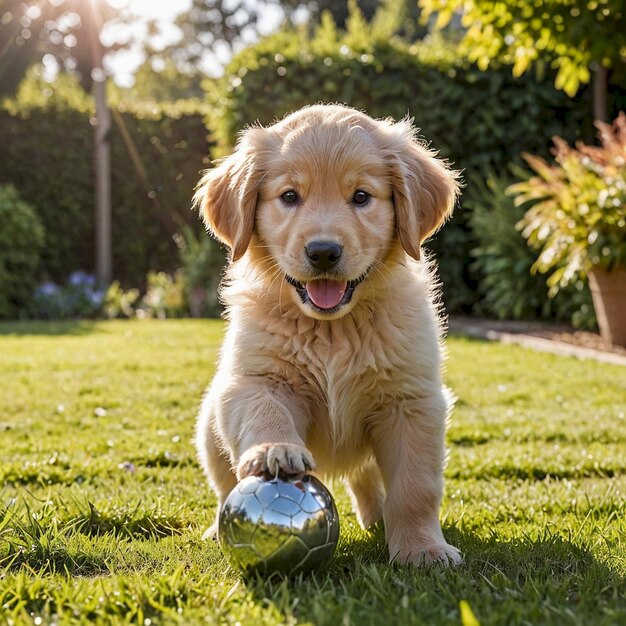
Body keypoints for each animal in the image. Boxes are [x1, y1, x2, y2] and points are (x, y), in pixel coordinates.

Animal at [193, 103, 460, 564]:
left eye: (361, 197)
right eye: (289, 196)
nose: (322, 252)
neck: (334, 328)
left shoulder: (411, 401)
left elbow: (415, 487)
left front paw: (422, 549)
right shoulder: (255, 380)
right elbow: (266, 412)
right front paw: (275, 451)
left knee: (367, 478)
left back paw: (377, 520)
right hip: (210, 423)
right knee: (225, 483)